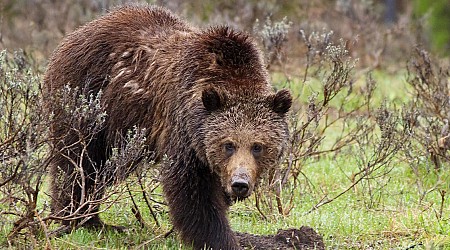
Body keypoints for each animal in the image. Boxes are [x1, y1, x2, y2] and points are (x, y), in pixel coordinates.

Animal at [44, 4, 292, 250]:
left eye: (258, 146)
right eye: (228, 144)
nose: (240, 183)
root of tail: (74, 34)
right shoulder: (183, 130)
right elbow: (192, 192)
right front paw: (221, 239)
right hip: (89, 102)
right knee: (78, 162)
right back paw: (81, 219)